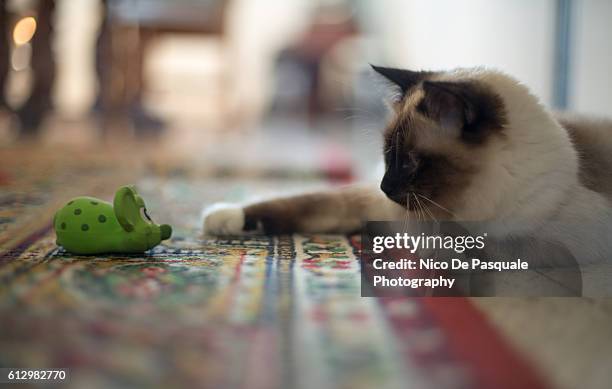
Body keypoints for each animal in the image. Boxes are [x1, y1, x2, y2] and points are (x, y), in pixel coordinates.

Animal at [203, 66, 612, 264]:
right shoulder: (372, 205)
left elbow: (477, 249)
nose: (386, 186)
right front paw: (222, 218)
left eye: (410, 162)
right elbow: (302, 203)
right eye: (386, 156)